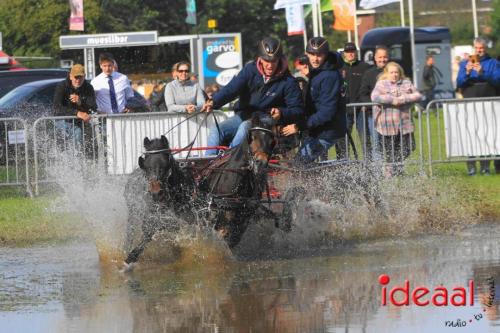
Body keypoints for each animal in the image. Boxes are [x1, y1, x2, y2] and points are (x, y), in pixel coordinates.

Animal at [123, 134, 195, 266]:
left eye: (166, 163)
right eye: (146, 164)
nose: (156, 192)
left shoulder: (187, 218)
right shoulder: (150, 219)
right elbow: (148, 233)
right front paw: (131, 256)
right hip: (132, 213)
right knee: (130, 232)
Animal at [198, 113, 278, 246]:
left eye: (272, 142)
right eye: (252, 137)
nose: (261, 163)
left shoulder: (244, 218)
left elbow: (233, 238)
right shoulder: (224, 212)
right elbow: (222, 234)